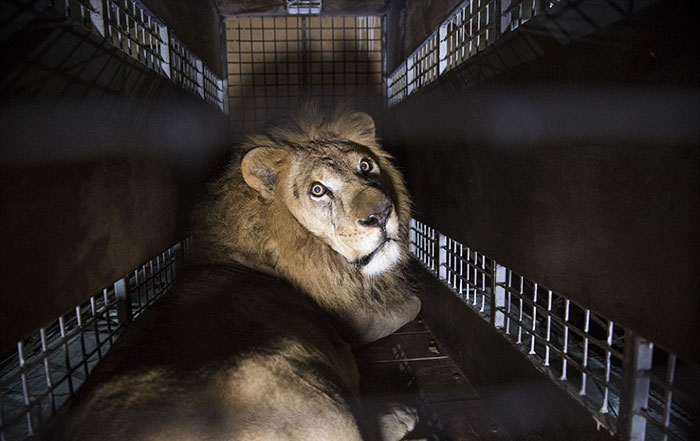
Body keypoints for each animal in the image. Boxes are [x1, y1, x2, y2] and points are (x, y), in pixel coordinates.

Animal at [44, 107, 422, 441]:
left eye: (365, 166)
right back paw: (399, 415)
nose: (381, 214)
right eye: (318, 190)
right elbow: (412, 305)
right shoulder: (351, 326)